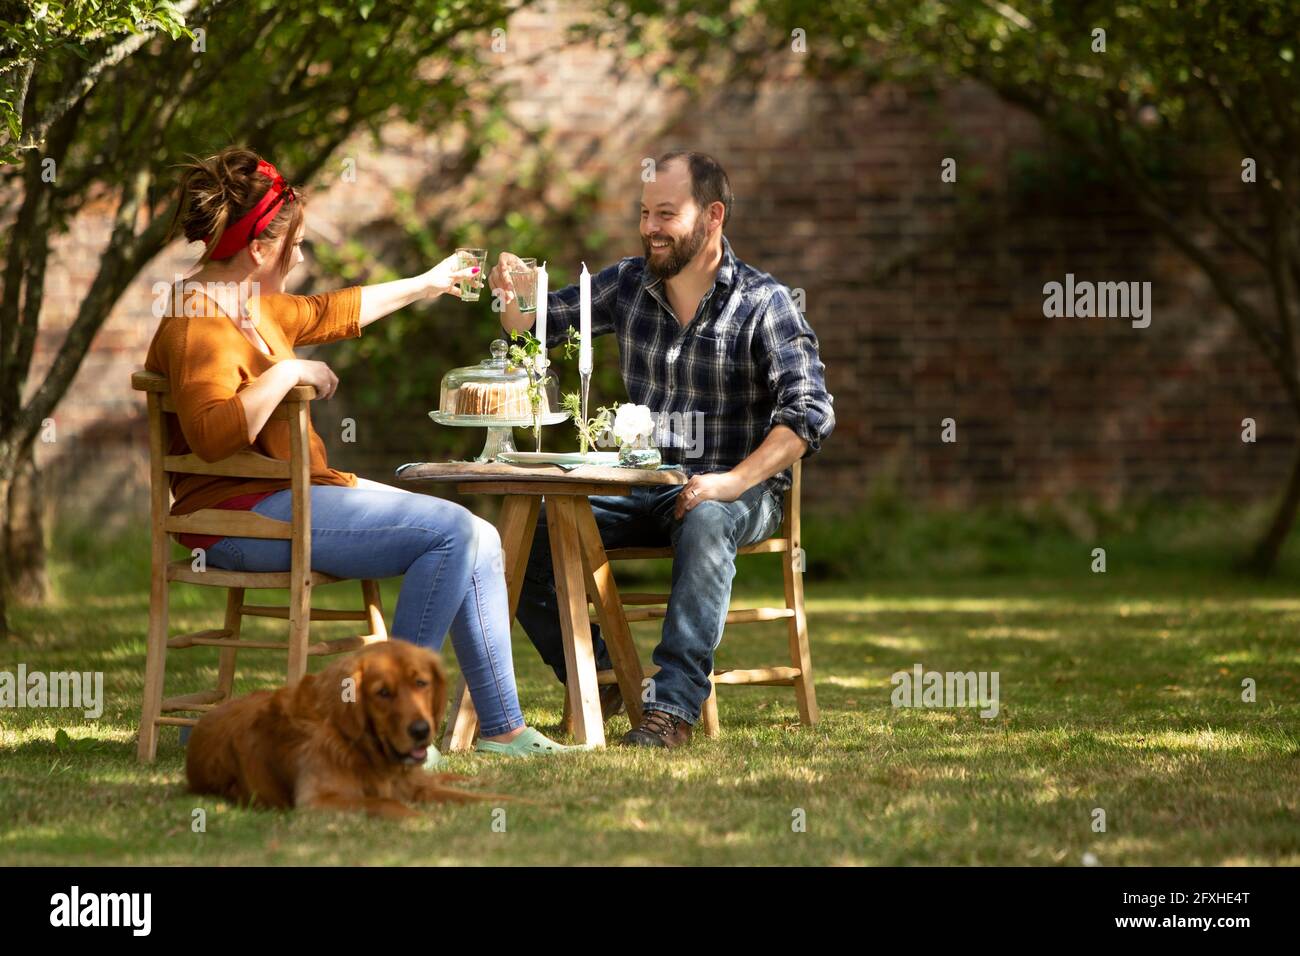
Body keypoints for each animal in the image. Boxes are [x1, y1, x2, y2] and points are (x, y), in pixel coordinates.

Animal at [185, 639, 499, 816]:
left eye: (421, 682)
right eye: (383, 693)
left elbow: (485, 798)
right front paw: (425, 822)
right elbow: (387, 804)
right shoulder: (317, 801)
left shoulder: (414, 785)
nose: (422, 731)